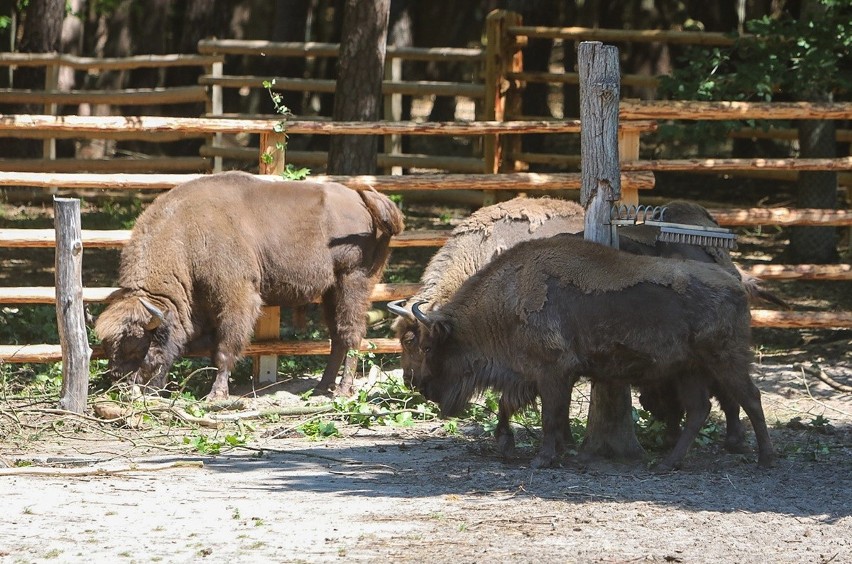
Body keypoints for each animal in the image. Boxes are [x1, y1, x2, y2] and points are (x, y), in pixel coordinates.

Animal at [95, 170, 408, 398]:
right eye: (110, 349)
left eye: (136, 347)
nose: (122, 387)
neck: (184, 234)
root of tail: (363, 201)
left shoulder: (237, 296)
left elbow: (224, 348)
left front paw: (216, 395)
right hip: (332, 291)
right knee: (337, 337)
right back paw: (322, 387)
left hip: (353, 281)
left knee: (350, 334)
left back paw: (342, 391)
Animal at [410, 234, 776, 472]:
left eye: (428, 346)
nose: (423, 387)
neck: (510, 296)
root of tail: (736, 284)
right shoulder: (536, 376)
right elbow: (512, 406)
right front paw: (511, 445)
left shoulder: (553, 370)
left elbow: (549, 415)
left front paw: (543, 458)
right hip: (689, 369)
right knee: (700, 410)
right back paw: (667, 464)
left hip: (725, 359)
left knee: (750, 398)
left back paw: (765, 460)